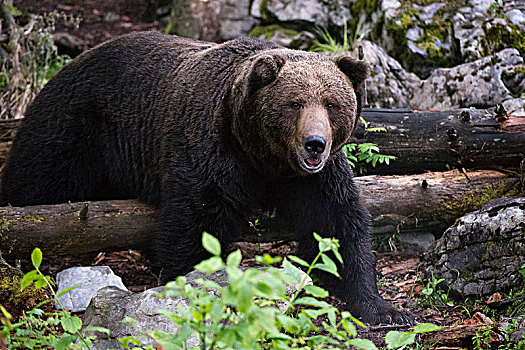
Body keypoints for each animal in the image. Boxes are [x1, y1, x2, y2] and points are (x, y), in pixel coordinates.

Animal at [1, 31, 414, 324]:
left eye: (331, 103)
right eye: (294, 103)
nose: (315, 143)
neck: (263, 155)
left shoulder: (312, 178)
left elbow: (337, 225)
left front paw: (385, 309)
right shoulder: (210, 151)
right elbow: (195, 223)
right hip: (76, 127)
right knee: (33, 179)